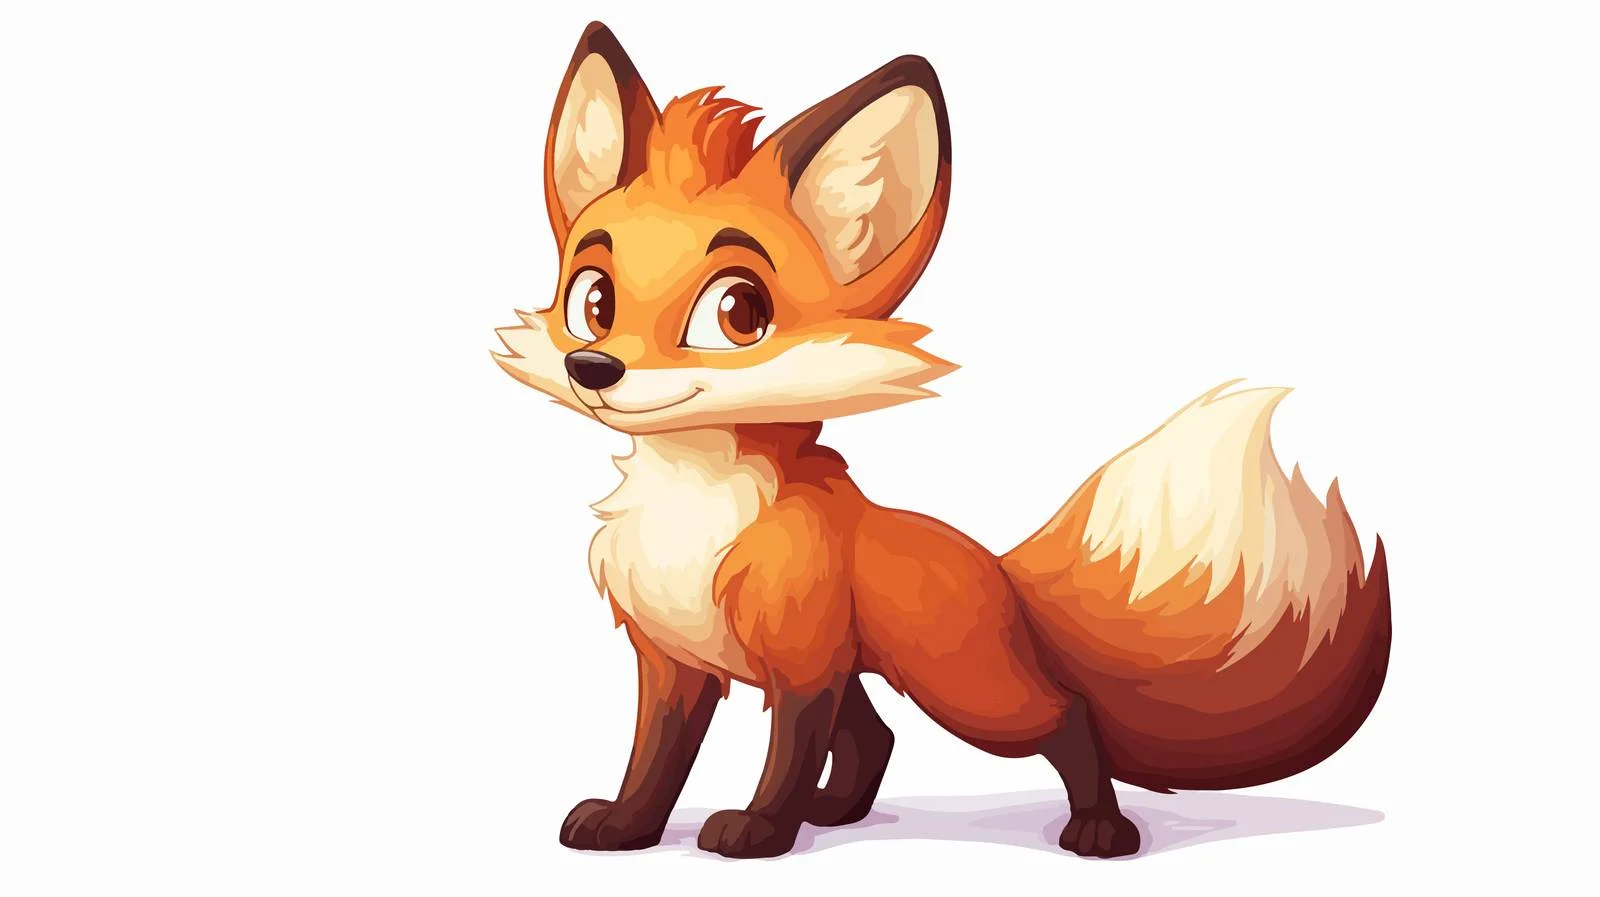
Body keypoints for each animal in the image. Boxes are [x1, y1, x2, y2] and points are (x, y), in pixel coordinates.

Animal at [494, 21, 1391, 860]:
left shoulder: (801, 664)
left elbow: (783, 757)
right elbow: (654, 761)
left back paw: (1100, 827)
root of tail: (996, 568)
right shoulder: (677, 662)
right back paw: (840, 809)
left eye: (738, 313)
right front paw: (628, 826)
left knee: (1066, 717)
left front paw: (759, 829)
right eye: (593, 300)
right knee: (876, 734)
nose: (594, 366)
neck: (691, 507)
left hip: (971, 690)